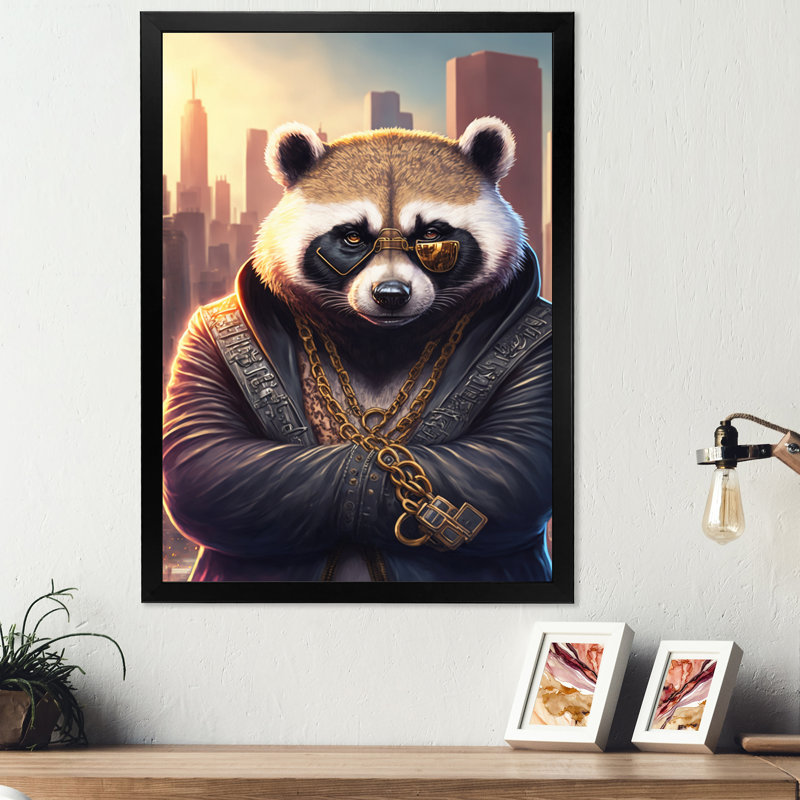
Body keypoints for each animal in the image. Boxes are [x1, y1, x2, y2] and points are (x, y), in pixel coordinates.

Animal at [162, 117, 553, 584]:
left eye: (433, 235)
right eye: (351, 237)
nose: (391, 295)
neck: (380, 337)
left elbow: (515, 455)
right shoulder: (202, 336)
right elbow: (208, 453)